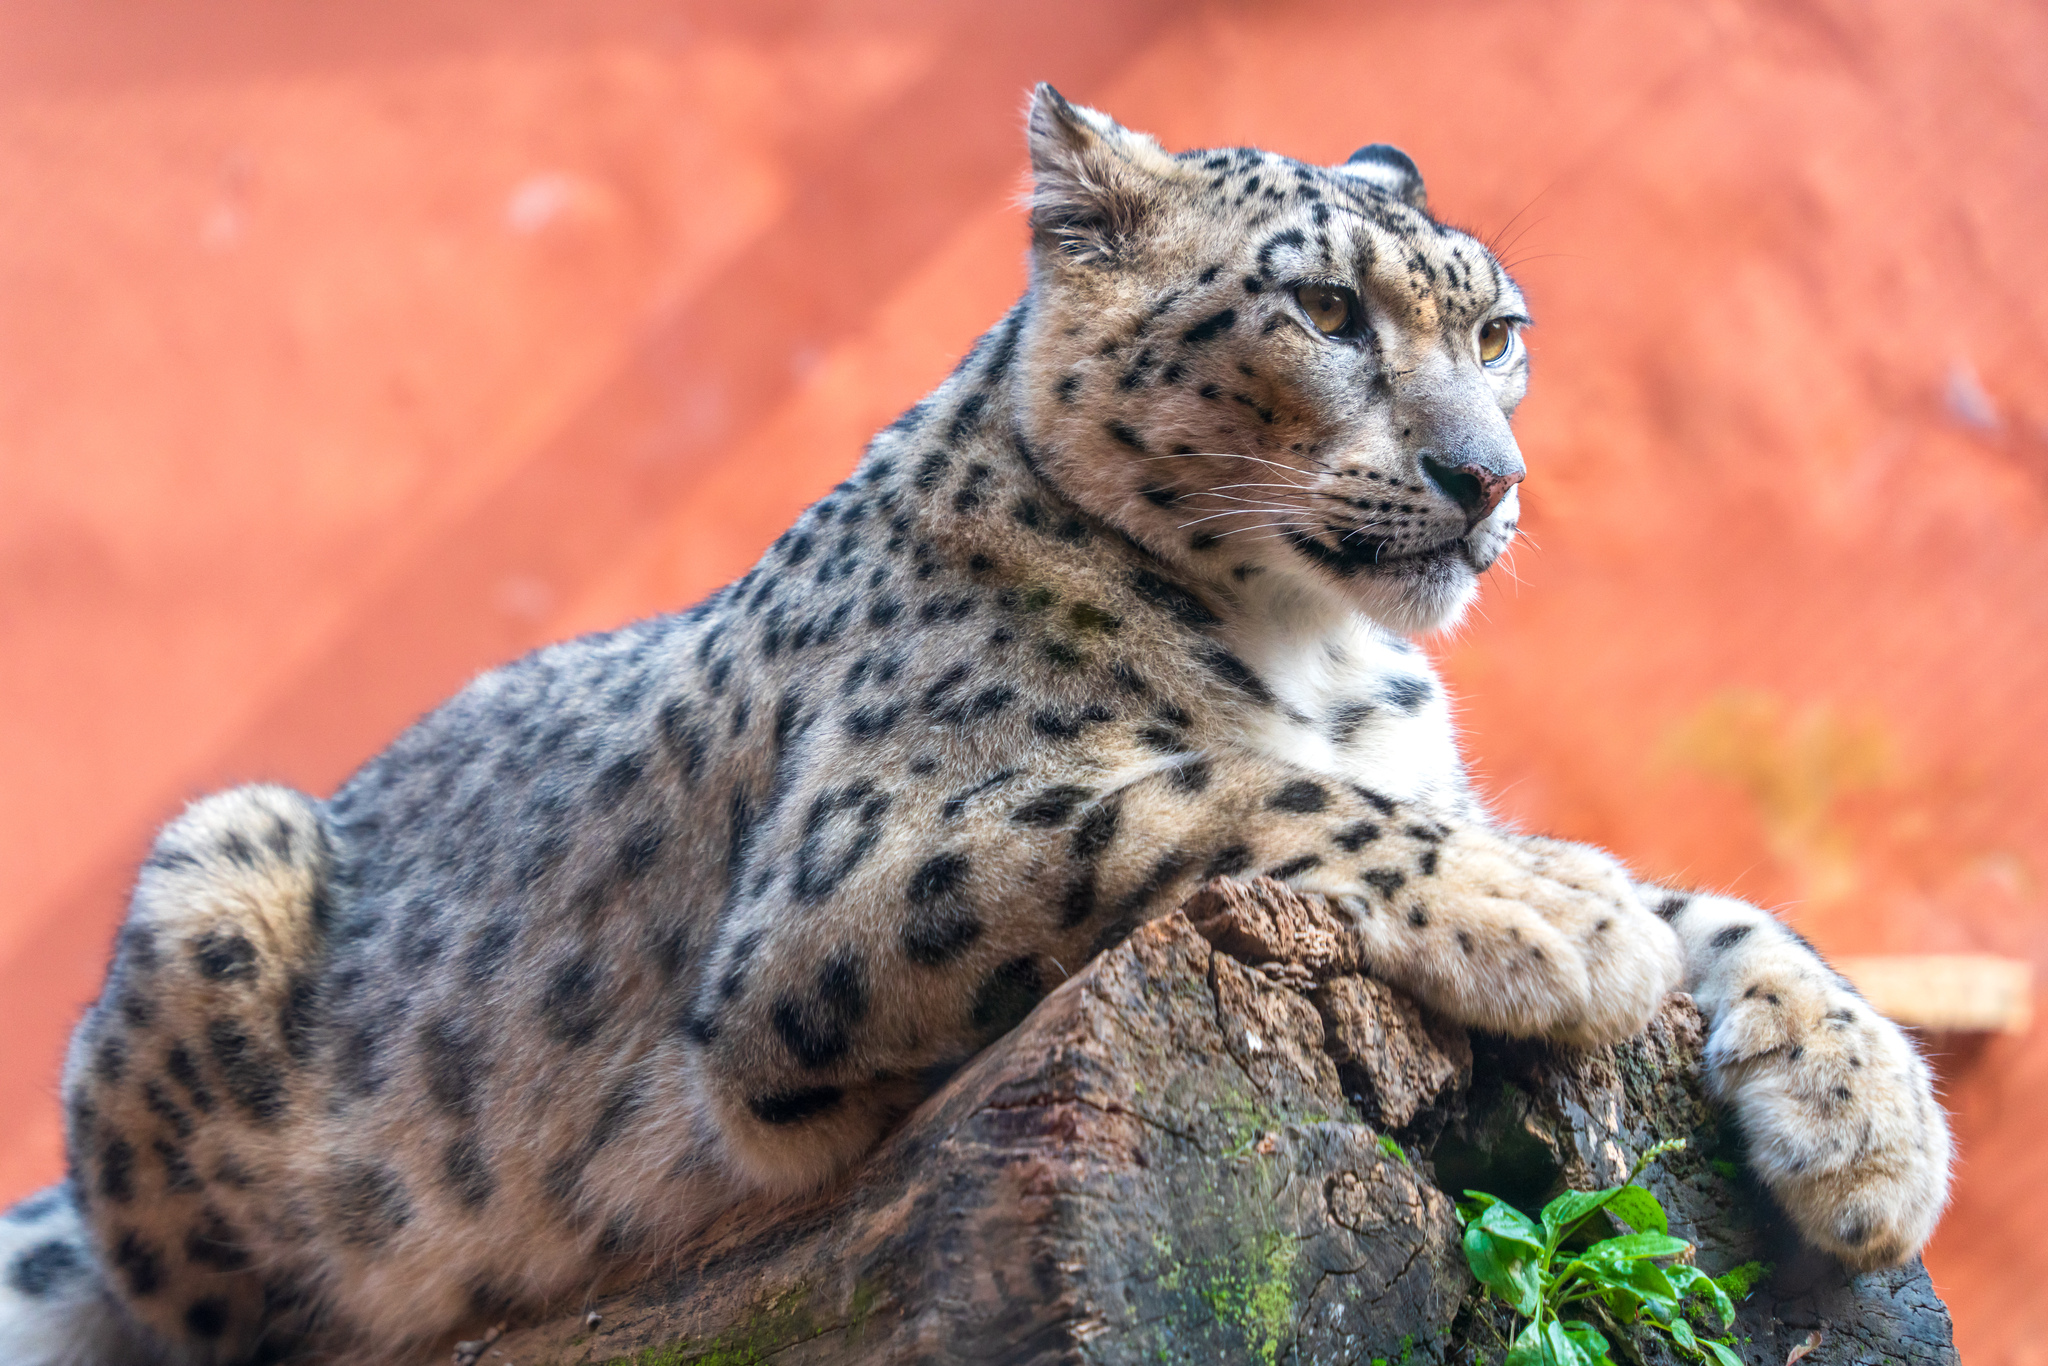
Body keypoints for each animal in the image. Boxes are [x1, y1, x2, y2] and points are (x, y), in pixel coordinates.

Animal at [0, 86, 1950, 1365]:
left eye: (1499, 330)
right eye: (1326, 307)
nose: (1489, 480)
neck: (1328, 655)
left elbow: (1721, 903)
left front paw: (1867, 1125)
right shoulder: (861, 877)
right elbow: (1213, 788)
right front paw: (1555, 912)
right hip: (221, 851)